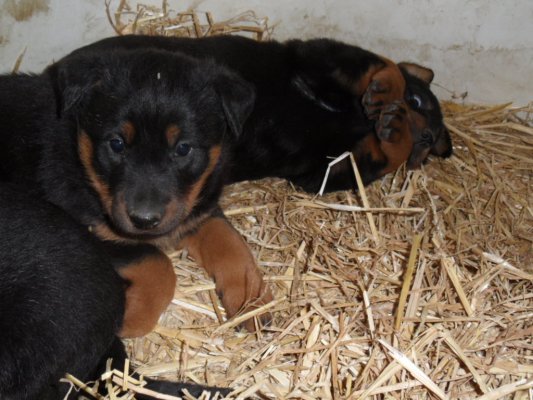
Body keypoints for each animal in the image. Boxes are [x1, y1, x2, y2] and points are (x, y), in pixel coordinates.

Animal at [0, 48, 273, 336]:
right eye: (117, 144)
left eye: (183, 148)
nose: (144, 220)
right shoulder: (88, 232)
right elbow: (156, 262)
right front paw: (130, 318)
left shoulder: (198, 209)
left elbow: (230, 241)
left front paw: (251, 299)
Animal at [68, 35, 453, 192]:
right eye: (418, 101)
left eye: (428, 144)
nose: (423, 136)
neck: (358, 121)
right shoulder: (312, 56)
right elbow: (379, 63)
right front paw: (388, 89)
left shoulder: (320, 173)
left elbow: (380, 158)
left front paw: (397, 135)